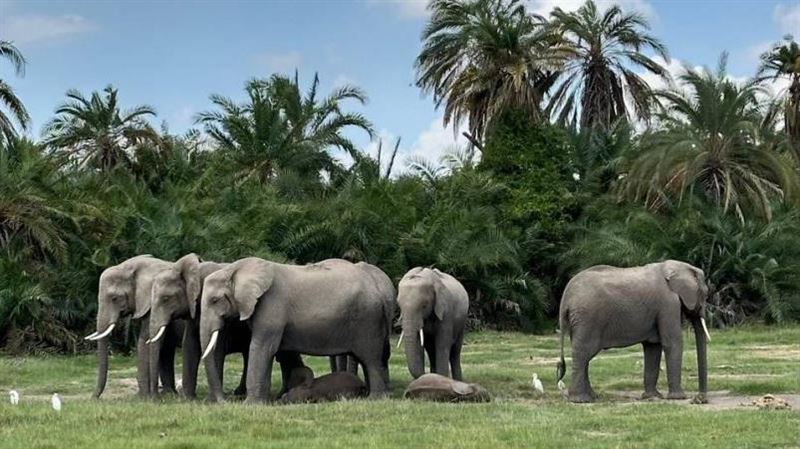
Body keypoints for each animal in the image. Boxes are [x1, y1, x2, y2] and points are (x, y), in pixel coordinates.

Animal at [83, 255, 177, 398]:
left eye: (114, 298)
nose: (93, 399)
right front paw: (142, 396)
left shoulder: (153, 303)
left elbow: (144, 340)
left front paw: (143, 398)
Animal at [146, 254, 310, 401]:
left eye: (165, 299)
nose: (155, 398)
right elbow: (190, 345)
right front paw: (189, 399)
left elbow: (216, 347)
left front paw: (211, 400)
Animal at [199, 257, 395, 403]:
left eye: (215, 300)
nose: (225, 400)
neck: (235, 268)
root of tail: (378, 288)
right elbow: (267, 350)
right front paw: (264, 402)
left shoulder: (271, 306)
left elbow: (261, 347)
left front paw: (250, 405)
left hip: (367, 319)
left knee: (370, 359)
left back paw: (375, 399)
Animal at [555, 260, 711, 403]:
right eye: (705, 294)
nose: (700, 398)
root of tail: (566, 297)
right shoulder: (668, 303)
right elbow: (672, 343)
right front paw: (678, 398)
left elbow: (653, 347)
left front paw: (652, 397)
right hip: (588, 317)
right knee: (583, 353)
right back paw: (581, 400)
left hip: (579, 321)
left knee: (584, 355)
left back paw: (593, 397)